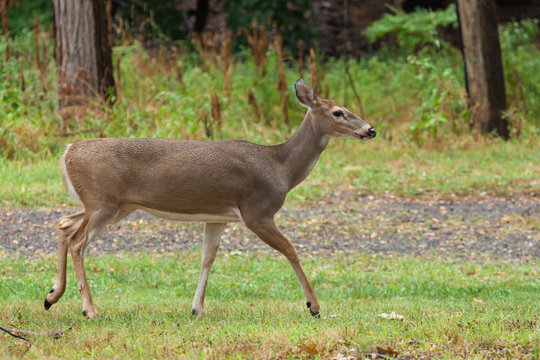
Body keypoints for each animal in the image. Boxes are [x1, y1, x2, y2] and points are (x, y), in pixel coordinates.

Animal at [44, 79, 376, 318]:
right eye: (338, 112)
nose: (370, 129)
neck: (280, 167)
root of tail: (68, 151)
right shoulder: (257, 211)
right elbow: (291, 250)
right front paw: (313, 306)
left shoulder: (218, 217)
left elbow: (208, 258)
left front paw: (196, 308)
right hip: (103, 202)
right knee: (77, 241)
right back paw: (89, 309)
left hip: (113, 205)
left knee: (64, 223)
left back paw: (51, 295)